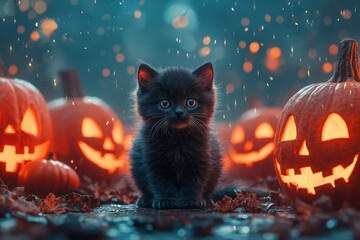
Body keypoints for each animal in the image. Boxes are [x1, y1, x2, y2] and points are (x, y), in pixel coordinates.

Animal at [130, 62, 222, 209]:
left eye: (191, 102)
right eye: (165, 103)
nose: (179, 112)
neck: (177, 139)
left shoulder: (202, 159)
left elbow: (195, 181)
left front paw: (192, 200)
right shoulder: (153, 161)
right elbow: (160, 182)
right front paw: (165, 201)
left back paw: (207, 200)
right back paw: (145, 200)